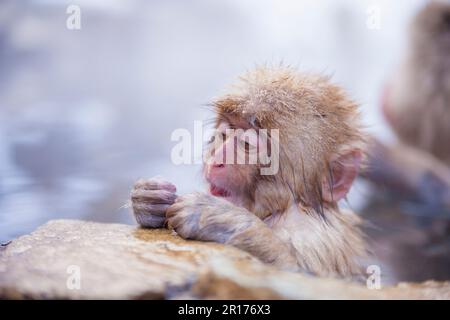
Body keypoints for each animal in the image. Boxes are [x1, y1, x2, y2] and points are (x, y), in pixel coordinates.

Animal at [131, 66, 370, 278]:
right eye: (224, 134)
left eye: (246, 145)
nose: (217, 161)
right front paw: (147, 199)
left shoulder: (316, 237)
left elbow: (298, 269)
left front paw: (213, 216)